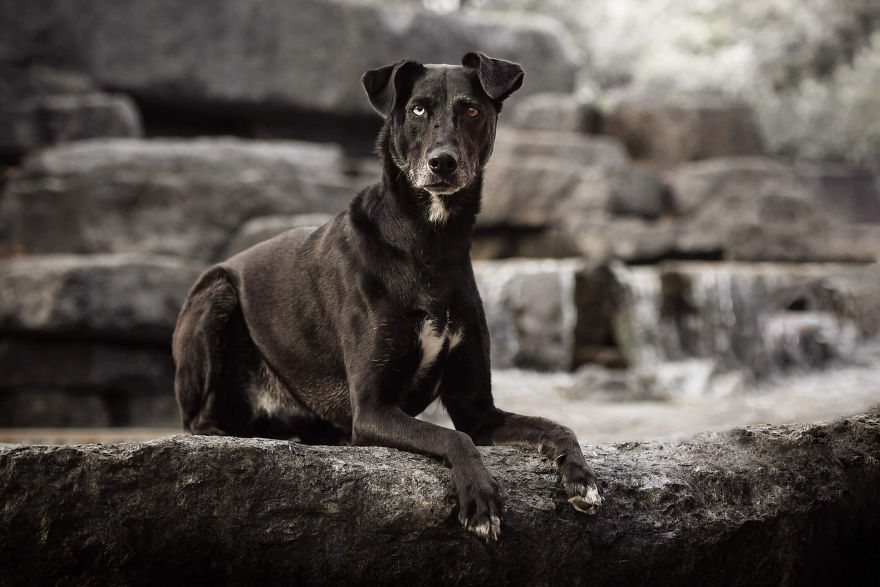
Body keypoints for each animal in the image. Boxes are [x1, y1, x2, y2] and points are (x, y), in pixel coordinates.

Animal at [171, 52, 600, 540]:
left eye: (472, 110)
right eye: (418, 109)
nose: (442, 162)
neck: (428, 246)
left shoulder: (479, 411)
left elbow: (555, 426)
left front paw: (581, 477)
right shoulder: (373, 411)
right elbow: (452, 436)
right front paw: (480, 497)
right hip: (215, 295)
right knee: (197, 423)